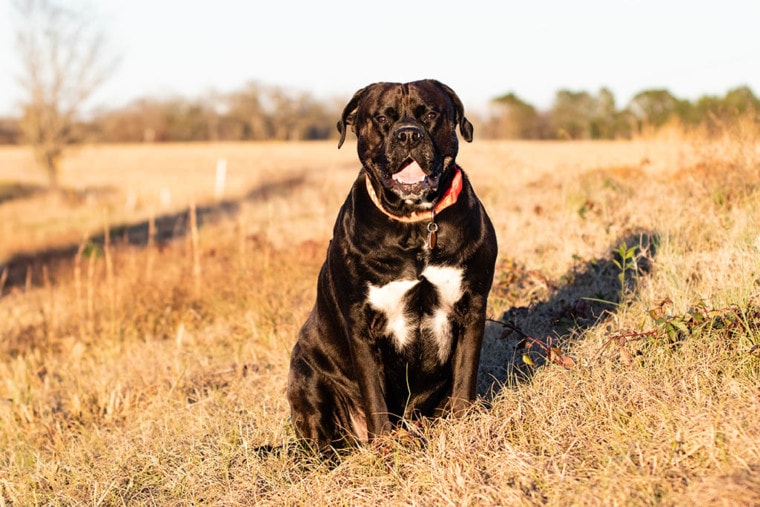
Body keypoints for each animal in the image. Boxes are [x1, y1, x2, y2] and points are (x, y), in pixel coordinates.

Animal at [286, 79, 498, 452]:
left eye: (430, 114)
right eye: (383, 118)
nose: (409, 135)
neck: (415, 224)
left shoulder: (472, 307)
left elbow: (464, 380)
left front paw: (464, 427)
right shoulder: (361, 324)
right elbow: (375, 397)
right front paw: (385, 445)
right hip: (304, 376)